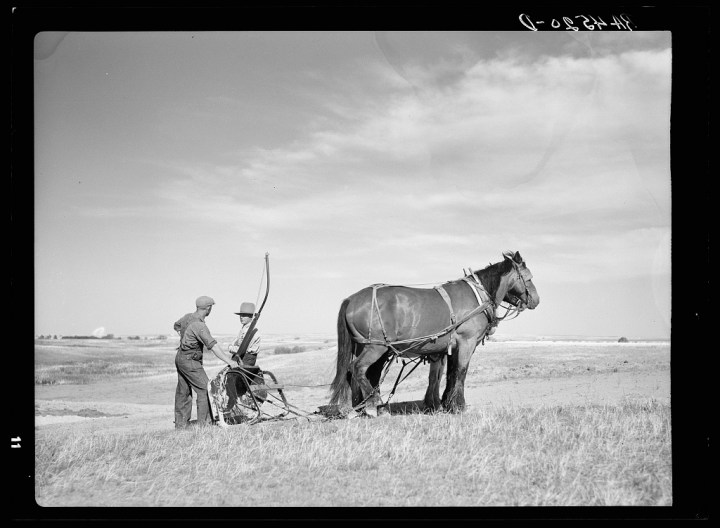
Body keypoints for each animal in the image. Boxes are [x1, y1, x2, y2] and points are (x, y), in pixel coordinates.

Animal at [330, 251, 536, 416]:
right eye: (529, 278)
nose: (536, 300)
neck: (478, 295)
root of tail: (352, 299)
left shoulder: (451, 347)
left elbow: (448, 374)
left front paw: (446, 404)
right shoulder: (467, 343)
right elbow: (461, 372)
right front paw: (458, 406)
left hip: (366, 346)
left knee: (359, 373)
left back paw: (357, 408)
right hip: (375, 347)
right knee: (358, 368)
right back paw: (373, 406)